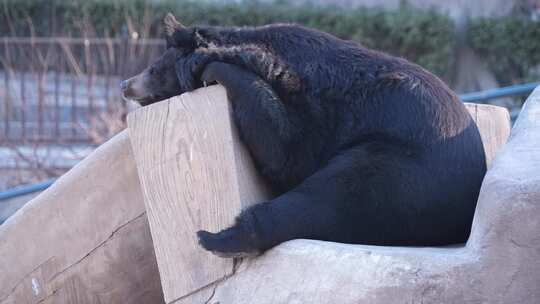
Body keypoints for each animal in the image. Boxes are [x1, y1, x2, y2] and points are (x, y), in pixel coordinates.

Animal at [121, 13, 486, 256]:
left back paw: (216, 237)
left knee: (332, 197)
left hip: (402, 170)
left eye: (154, 68)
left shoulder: (316, 107)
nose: (125, 84)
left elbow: (287, 152)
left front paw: (206, 65)